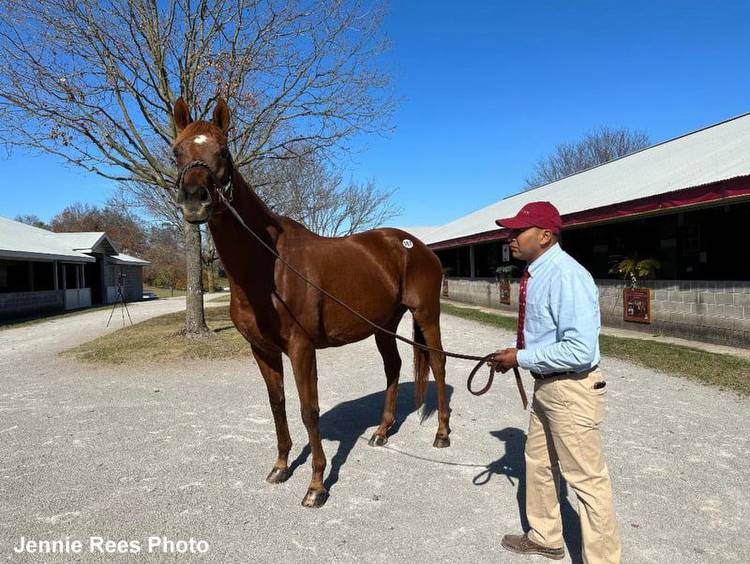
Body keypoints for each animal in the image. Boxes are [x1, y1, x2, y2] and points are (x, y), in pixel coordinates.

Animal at [172, 97, 452, 506]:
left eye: (222, 150)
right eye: (176, 151)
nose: (195, 201)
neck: (268, 265)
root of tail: (416, 245)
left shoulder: (301, 347)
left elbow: (309, 409)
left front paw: (317, 485)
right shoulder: (262, 350)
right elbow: (278, 406)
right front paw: (281, 467)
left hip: (427, 315)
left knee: (438, 364)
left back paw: (442, 434)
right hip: (383, 324)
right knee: (394, 367)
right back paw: (382, 432)